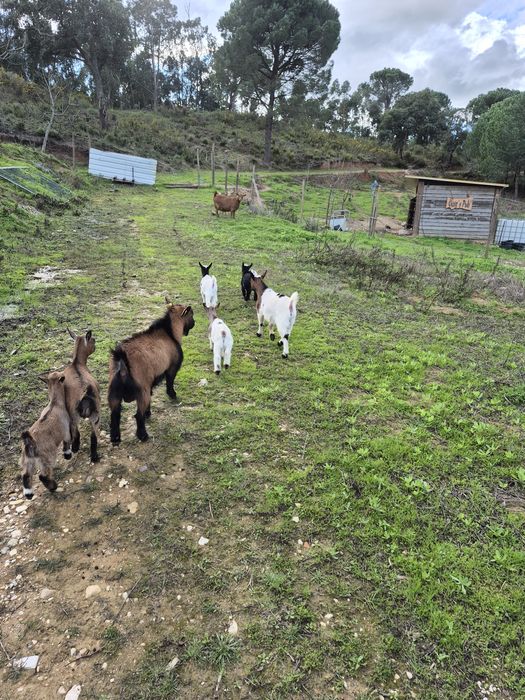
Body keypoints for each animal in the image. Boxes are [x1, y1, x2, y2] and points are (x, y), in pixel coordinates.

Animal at [63, 329, 101, 463]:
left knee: (75, 432)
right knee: (94, 435)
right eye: (93, 340)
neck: (77, 364)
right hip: (96, 415)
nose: (95, 347)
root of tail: (86, 393)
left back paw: (75, 447)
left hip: (73, 415)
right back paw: (94, 456)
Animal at [108, 300, 195, 444]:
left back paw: (115, 438)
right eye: (191, 314)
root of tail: (122, 361)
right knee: (138, 415)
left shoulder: (150, 382)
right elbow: (170, 382)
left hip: (114, 392)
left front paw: (148, 412)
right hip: (141, 391)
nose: (194, 323)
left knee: (114, 415)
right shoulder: (171, 368)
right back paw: (143, 435)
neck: (169, 332)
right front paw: (172, 395)